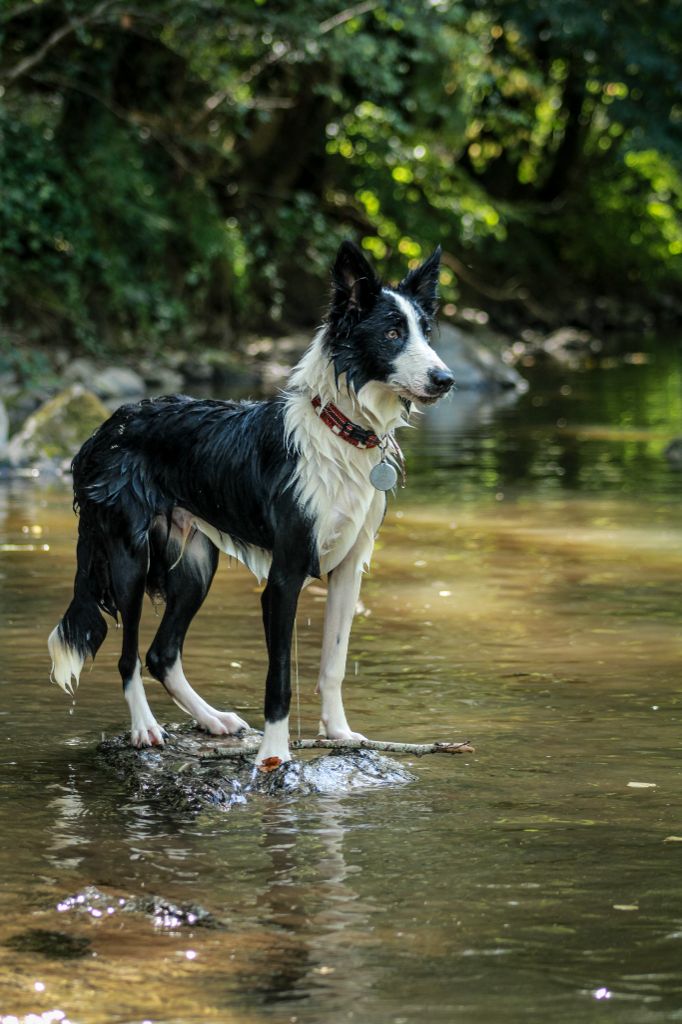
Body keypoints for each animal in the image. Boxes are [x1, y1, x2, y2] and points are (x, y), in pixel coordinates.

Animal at [47, 243, 450, 765]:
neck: (341, 430)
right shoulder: (285, 575)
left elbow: (334, 664)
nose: (446, 379)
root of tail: (104, 429)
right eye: (392, 333)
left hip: (195, 564)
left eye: (425, 331)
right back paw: (145, 728)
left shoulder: (349, 567)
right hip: (129, 560)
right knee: (129, 655)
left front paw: (339, 733)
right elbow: (278, 677)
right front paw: (273, 756)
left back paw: (212, 719)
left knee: (162, 653)